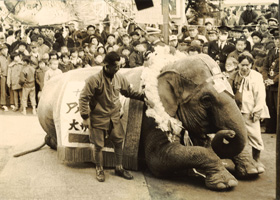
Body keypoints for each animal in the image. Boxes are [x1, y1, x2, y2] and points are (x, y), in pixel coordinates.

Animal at [31, 53, 264, 191]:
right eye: (206, 100)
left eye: (233, 89)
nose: (229, 133)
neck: (166, 69)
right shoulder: (150, 118)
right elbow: (158, 159)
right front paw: (226, 182)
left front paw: (254, 171)